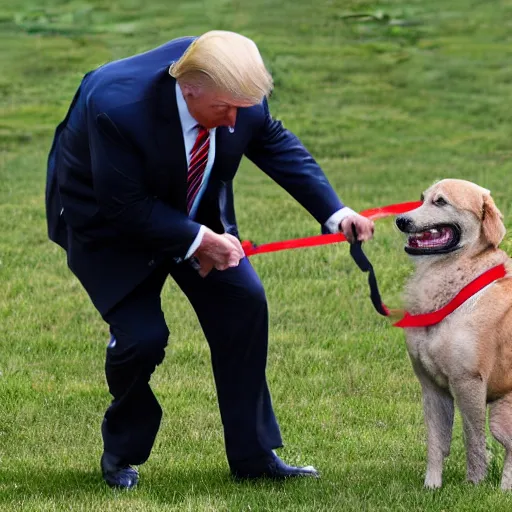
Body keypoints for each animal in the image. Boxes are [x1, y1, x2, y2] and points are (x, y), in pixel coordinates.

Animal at [396, 179, 512, 488]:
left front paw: (474, 484)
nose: (401, 220)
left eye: (441, 202)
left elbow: (473, 439)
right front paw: (431, 486)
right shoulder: (431, 386)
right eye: (422, 199)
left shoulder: (467, 381)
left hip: (502, 416)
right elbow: (436, 442)